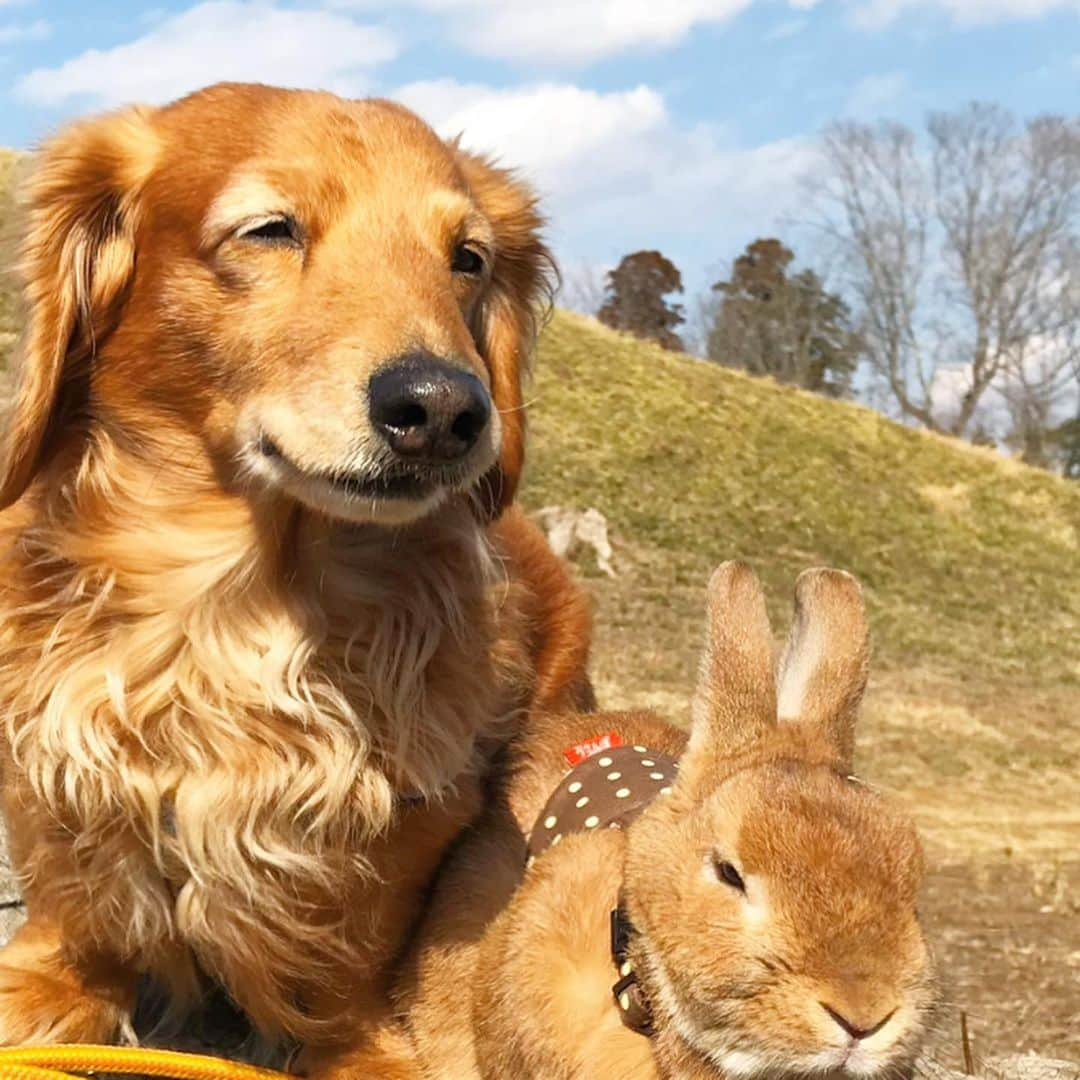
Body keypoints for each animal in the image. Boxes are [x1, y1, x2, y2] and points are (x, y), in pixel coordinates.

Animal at [0, 86, 591, 1080]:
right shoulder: (52, 759)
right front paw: (56, 986)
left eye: (467, 259)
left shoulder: (408, 820)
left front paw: (358, 1048)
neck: (231, 617)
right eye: (270, 229)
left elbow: (349, 962)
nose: (445, 410)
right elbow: (75, 897)